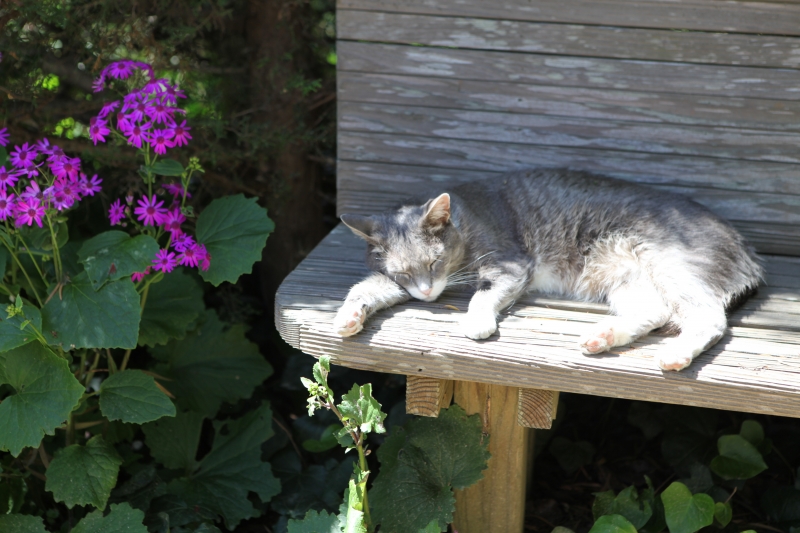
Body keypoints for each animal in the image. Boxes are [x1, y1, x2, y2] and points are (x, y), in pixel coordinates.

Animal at [332, 169, 764, 370]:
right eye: (403, 274)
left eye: (434, 262)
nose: (425, 294)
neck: (466, 219)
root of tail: (748, 250)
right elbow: (365, 287)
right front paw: (347, 317)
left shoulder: (508, 262)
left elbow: (484, 293)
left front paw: (476, 321)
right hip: (627, 278)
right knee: (654, 311)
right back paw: (603, 336)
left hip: (671, 266)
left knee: (708, 318)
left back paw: (675, 353)